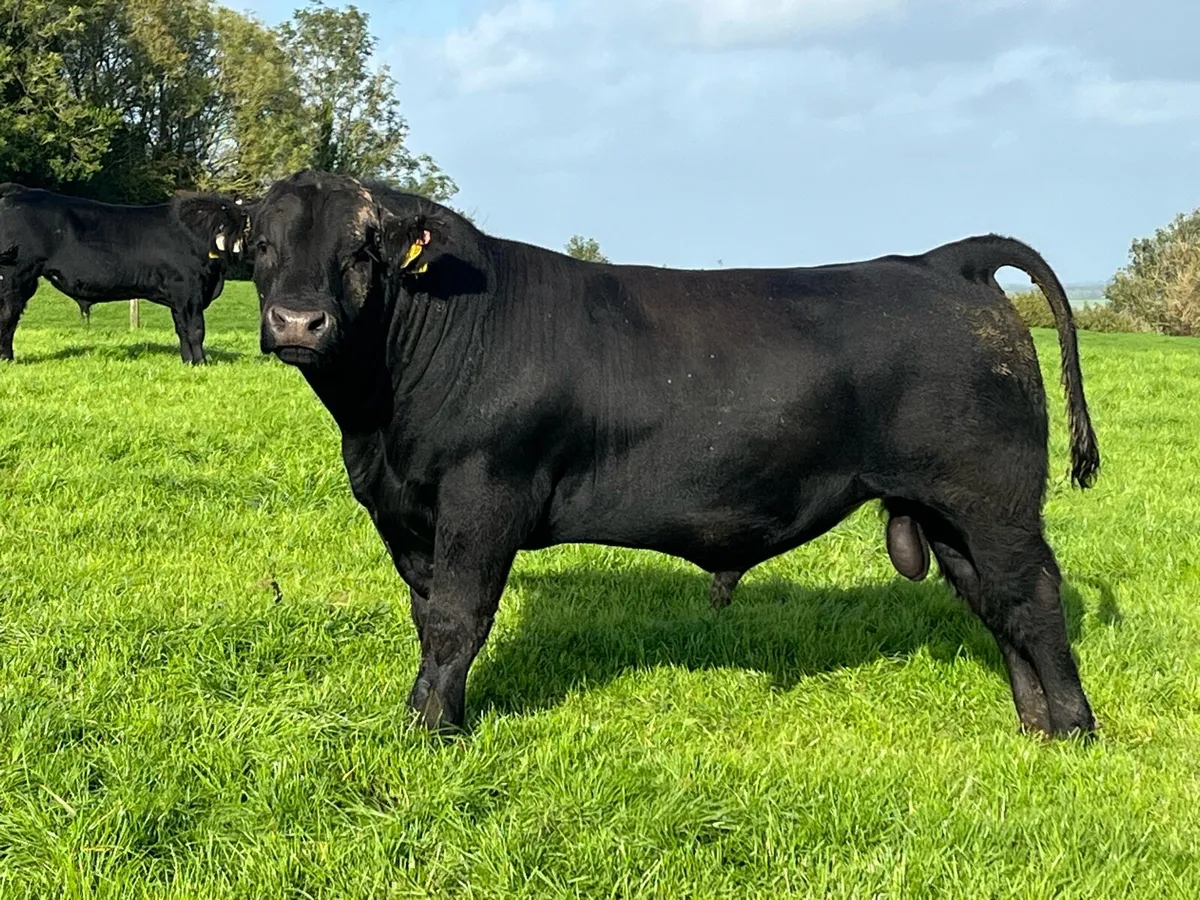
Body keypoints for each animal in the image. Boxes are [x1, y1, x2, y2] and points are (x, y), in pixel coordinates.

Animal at [0, 183, 250, 364]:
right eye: (225, 226)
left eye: (241, 226)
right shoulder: (189, 293)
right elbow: (196, 330)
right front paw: (201, 362)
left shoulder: (179, 299)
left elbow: (182, 330)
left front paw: (188, 361)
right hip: (15, 275)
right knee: (8, 316)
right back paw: (7, 359)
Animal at [248, 169, 1101, 740]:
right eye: (260, 247)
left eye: (362, 251)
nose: (298, 322)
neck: (378, 424)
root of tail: (942, 260)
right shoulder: (406, 512)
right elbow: (427, 619)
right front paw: (423, 716)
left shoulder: (482, 495)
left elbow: (459, 619)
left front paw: (433, 734)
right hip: (949, 513)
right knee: (995, 603)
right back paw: (1033, 726)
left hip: (993, 499)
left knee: (1033, 596)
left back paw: (1073, 728)